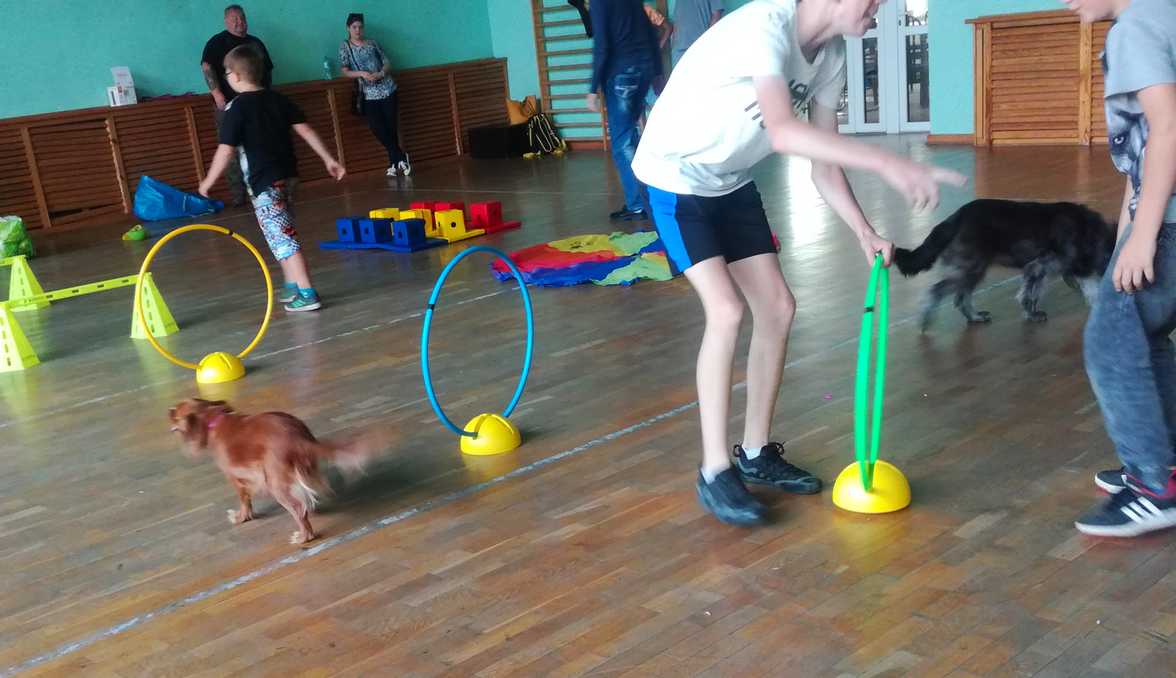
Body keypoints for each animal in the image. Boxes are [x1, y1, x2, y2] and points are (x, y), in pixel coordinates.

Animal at [169, 398, 386, 545]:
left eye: (176, 413)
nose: (168, 410)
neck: (214, 419)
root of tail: (297, 437)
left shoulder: (236, 478)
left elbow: (244, 501)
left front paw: (241, 517)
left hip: (276, 484)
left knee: (298, 510)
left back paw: (303, 537)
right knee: (306, 500)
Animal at [894, 199, 1117, 331]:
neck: (1088, 231)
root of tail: (955, 218)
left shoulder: (1050, 270)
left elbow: (1037, 292)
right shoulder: (1039, 266)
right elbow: (1029, 294)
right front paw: (1032, 314)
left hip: (972, 271)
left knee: (960, 297)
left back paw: (975, 317)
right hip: (970, 268)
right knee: (938, 290)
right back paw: (926, 317)